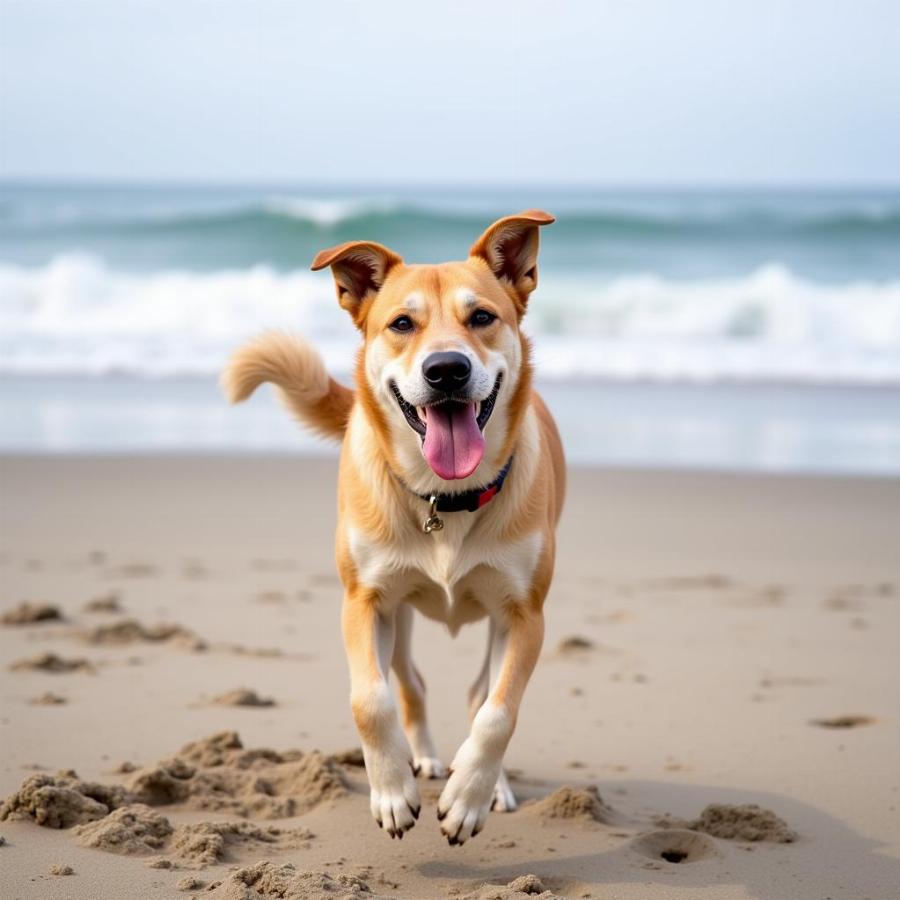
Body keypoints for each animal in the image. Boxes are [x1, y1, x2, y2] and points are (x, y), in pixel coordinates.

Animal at [223, 209, 564, 844]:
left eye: (482, 317)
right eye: (402, 323)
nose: (447, 369)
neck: (446, 497)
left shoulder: (524, 613)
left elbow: (499, 710)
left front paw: (468, 799)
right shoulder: (365, 601)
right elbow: (370, 700)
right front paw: (391, 792)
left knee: (481, 692)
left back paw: (487, 784)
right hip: (402, 612)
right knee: (409, 682)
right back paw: (424, 759)